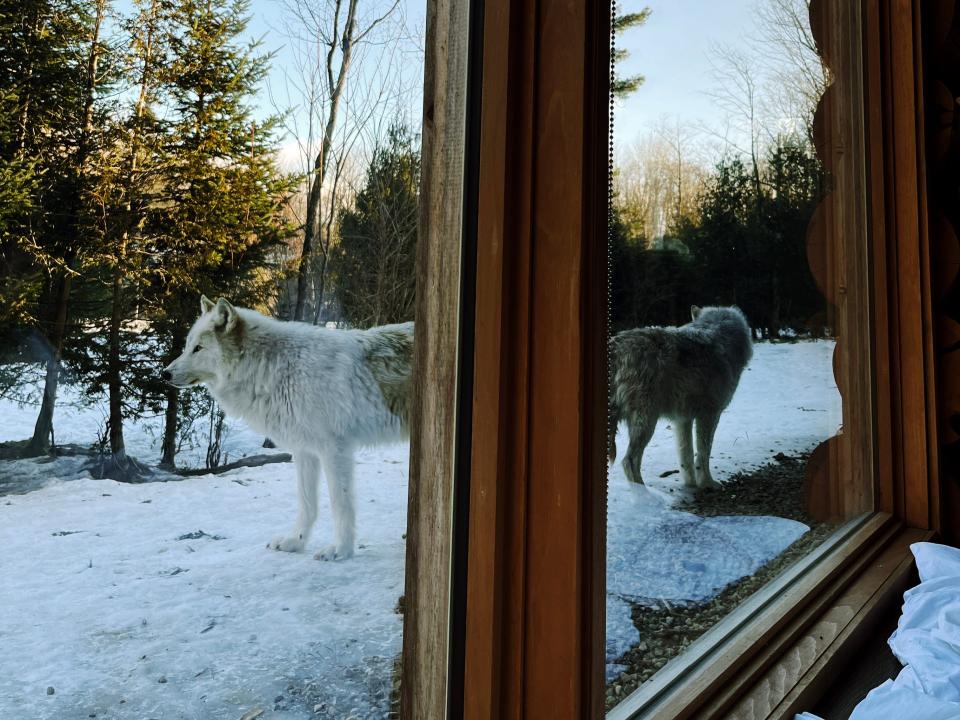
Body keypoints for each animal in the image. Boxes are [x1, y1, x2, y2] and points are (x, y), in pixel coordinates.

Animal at [165, 296, 412, 560]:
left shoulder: (335, 451)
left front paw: (341, 550)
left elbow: (340, 504)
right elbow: (307, 504)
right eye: (187, 345)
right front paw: (296, 542)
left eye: (198, 348)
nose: (164, 373)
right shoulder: (304, 451)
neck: (275, 369)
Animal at [612, 306, 752, 490]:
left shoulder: (682, 419)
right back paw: (643, 491)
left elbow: (686, 456)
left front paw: (690, 484)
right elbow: (703, 453)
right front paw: (707, 483)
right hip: (647, 421)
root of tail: (616, 349)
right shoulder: (709, 414)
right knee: (629, 461)